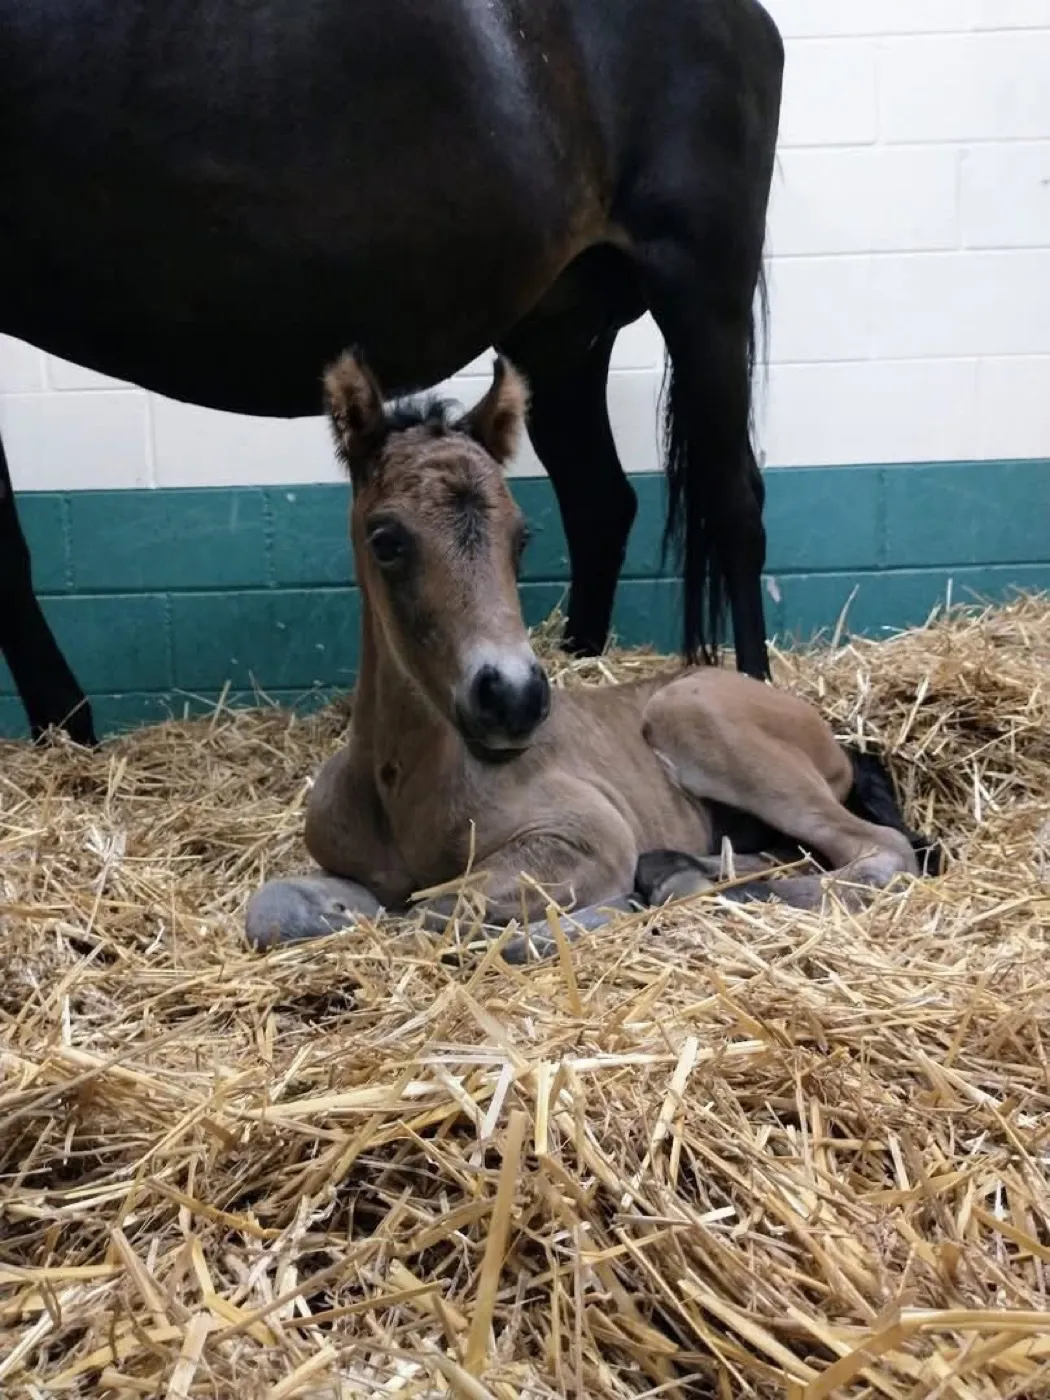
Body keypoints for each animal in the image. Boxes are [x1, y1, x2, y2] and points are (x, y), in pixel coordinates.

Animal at [0, 0, 784, 748]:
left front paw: (66, 728)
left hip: (700, 295)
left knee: (734, 504)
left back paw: (755, 690)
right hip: (564, 333)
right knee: (601, 503)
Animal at [244, 351, 943, 961]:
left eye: (522, 537)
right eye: (385, 540)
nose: (515, 698)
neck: (398, 784)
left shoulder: (587, 835)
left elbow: (437, 915)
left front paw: (596, 916)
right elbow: (272, 909)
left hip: (695, 718)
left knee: (880, 852)